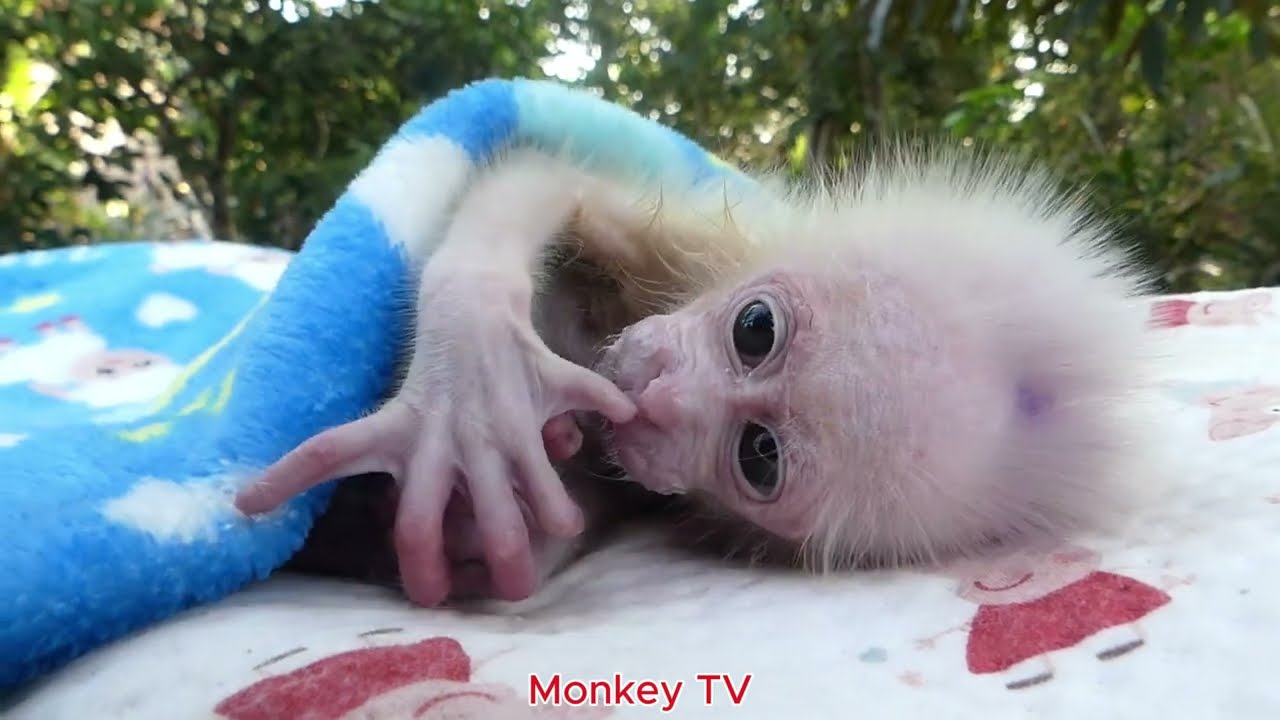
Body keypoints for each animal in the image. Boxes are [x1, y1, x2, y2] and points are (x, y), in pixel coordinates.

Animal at [234, 143, 1163, 608]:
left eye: (760, 456)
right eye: (755, 329)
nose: (656, 400)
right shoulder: (688, 237)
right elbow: (542, 177)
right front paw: (472, 368)